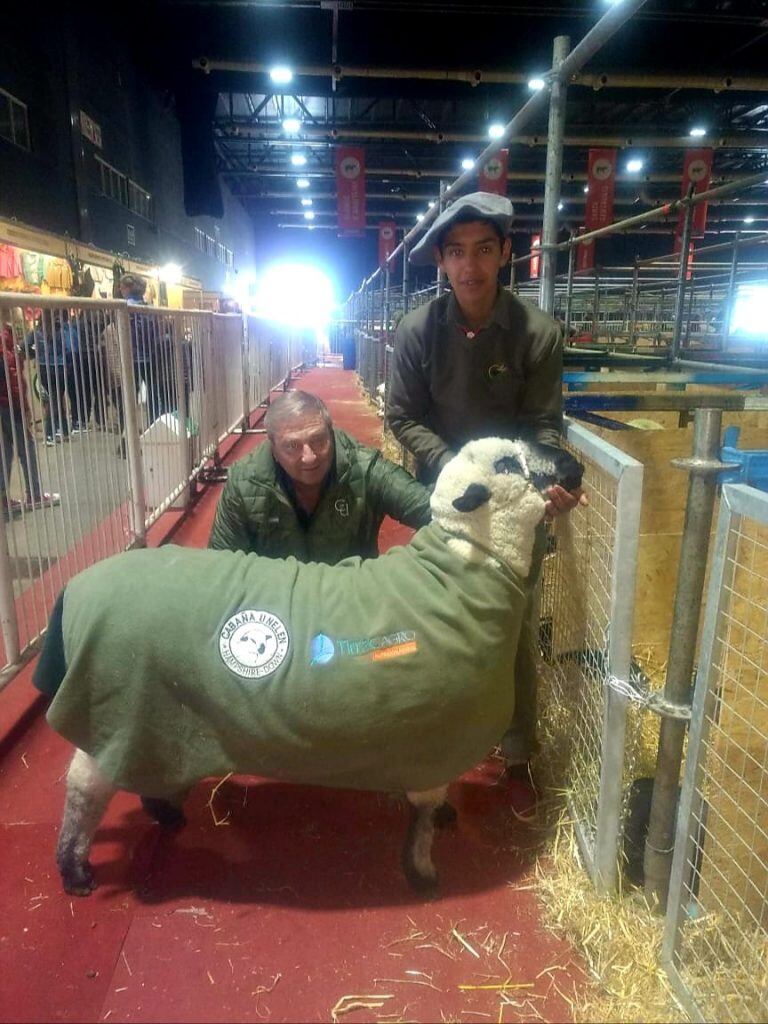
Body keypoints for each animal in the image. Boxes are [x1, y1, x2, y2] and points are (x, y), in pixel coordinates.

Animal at [31, 438, 581, 897]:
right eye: (508, 464)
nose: (571, 465)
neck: (457, 575)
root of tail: (76, 587)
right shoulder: (434, 736)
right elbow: (423, 815)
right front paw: (422, 872)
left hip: (152, 713)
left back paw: (162, 812)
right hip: (116, 703)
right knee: (84, 787)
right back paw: (75, 870)